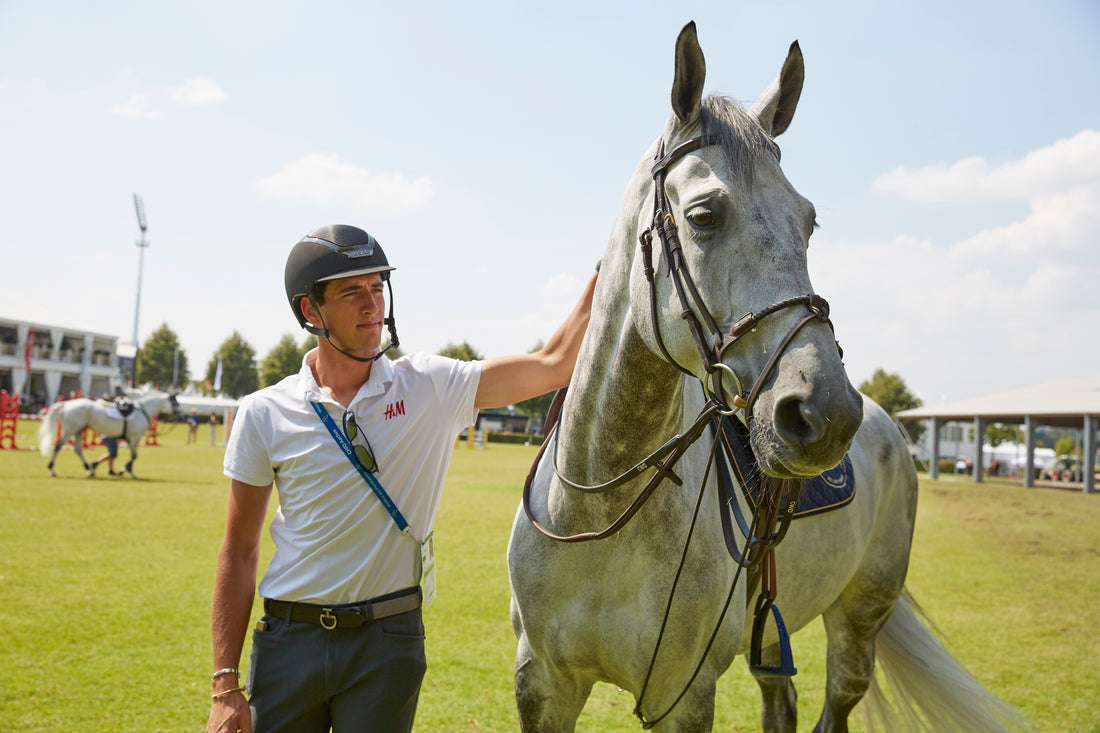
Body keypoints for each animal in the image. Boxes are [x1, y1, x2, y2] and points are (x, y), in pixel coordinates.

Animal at [38, 391, 178, 477]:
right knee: (58, 446)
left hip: (78, 431)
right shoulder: (134, 438)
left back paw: (89, 469)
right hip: (70, 431)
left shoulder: (130, 440)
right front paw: (127, 472)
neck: (142, 410)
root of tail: (66, 403)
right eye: (175, 402)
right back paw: (52, 470)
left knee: (77, 449)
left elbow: (131, 456)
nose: (179, 415)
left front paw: (124, 471)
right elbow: (134, 456)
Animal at [510, 22, 1025, 730]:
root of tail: (887, 425)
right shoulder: (544, 685)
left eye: (808, 220)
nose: (827, 413)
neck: (598, 506)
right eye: (703, 215)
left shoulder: (682, 695)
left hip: (858, 620)